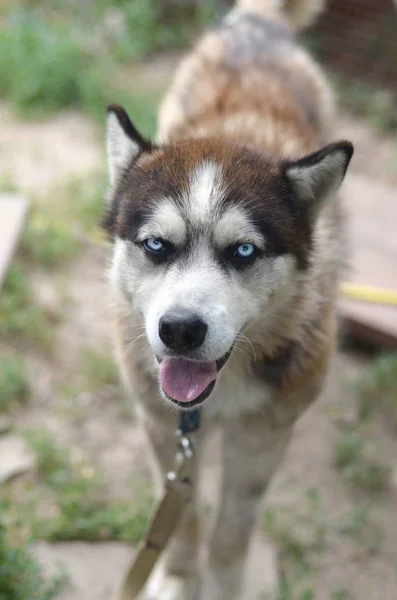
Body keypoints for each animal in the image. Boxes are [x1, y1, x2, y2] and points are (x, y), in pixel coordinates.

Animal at [103, 1, 352, 600]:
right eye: (155, 245)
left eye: (243, 251)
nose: (180, 330)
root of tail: (260, 23)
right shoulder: (162, 428)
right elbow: (184, 519)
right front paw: (177, 580)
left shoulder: (262, 439)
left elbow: (232, 532)